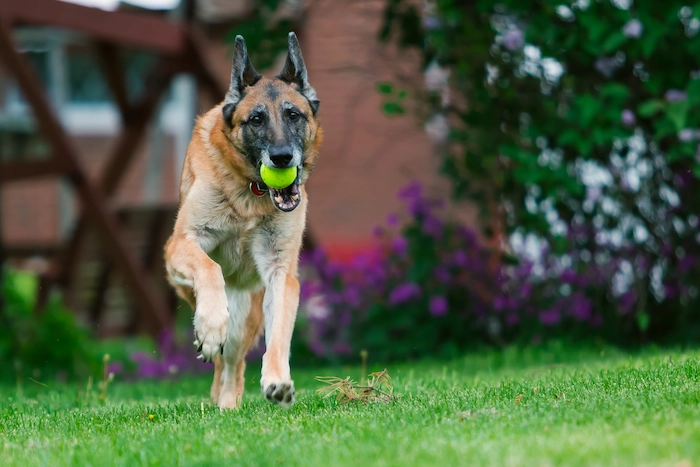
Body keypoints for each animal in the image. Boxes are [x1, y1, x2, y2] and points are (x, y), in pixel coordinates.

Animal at [165, 33, 324, 410]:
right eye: (256, 119)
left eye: (293, 115)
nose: (281, 158)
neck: (251, 194)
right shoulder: (181, 243)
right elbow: (209, 267)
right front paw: (209, 325)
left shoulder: (281, 272)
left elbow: (280, 334)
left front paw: (277, 380)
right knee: (224, 360)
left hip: (246, 318)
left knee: (232, 368)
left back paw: (228, 405)